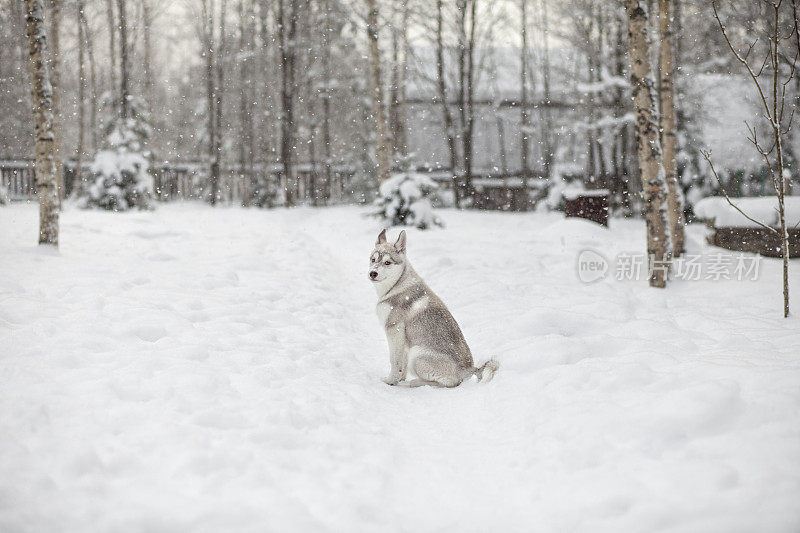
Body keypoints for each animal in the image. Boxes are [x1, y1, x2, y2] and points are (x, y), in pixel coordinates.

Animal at [370, 229, 496, 386]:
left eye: (387, 262)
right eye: (373, 260)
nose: (372, 273)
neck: (396, 286)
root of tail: (468, 369)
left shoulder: (394, 330)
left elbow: (395, 361)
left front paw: (390, 382)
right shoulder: (403, 340)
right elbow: (402, 366)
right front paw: (399, 380)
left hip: (417, 354)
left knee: (446, 383)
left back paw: (412, 383)